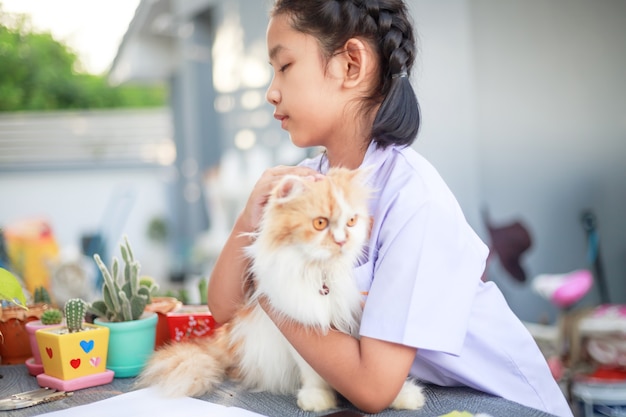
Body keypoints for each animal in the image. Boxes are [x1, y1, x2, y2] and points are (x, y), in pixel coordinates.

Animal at [134, 167, 422, 412]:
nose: (342, 241)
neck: (321, 273)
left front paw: (404, 395)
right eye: (320, 224)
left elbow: (385, 377)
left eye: (351, 221)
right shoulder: (300, 325)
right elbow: (313, 372)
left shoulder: (355, 322)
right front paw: (318, 398)